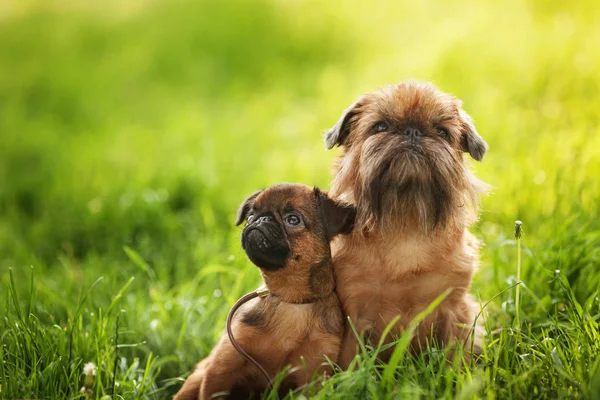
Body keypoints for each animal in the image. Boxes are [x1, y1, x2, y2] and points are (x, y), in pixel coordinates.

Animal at [176, 184, 356, 400]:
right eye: (250, 214)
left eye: (293, 220)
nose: (261, 219)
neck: (290, 298)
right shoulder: (221, 367)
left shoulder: (312, 376)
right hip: (196, 377)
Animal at [326, 79, 490, 368]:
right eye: (380, 127)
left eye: (442, 131)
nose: (412, 131)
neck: (406, 221)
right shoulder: (353, 317)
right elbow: (350, 363)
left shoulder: (455, 309)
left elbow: (456, 355)